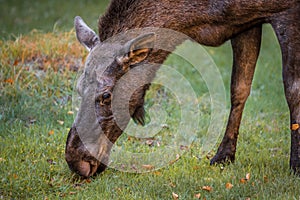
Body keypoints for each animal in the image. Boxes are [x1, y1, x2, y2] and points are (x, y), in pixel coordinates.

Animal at [64, 0, 298, 178]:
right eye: (78, 88)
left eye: (106, 94)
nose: (75, 161)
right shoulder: (245, 23)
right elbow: (239, 88)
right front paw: (224, 156)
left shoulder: (286, 11)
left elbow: (292, 90)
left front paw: (295, 164)